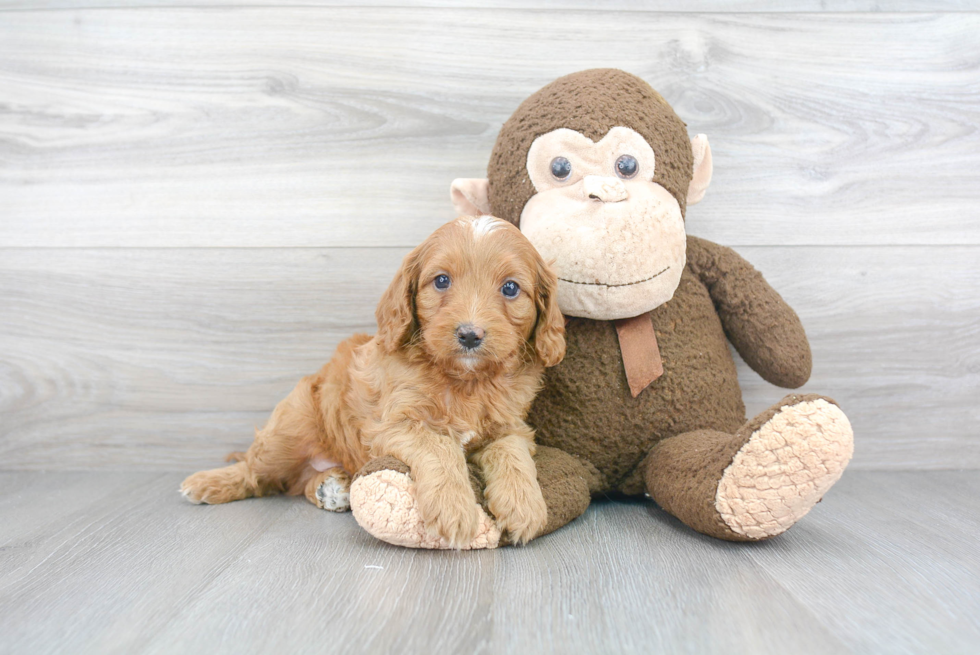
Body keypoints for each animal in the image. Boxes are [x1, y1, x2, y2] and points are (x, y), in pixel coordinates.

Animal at [182, 217, 568, 548]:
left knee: (294, 483)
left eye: (510, 288)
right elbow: (440, 446)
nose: (470, 335)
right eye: (441, 281)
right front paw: (453, 508)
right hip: (289, 428)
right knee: (257, 472)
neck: (466, 380)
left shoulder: (512, 426)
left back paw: (329, 487)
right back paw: (207, 483)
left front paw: (524, 505)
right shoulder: (391, 425)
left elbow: (512, 453)